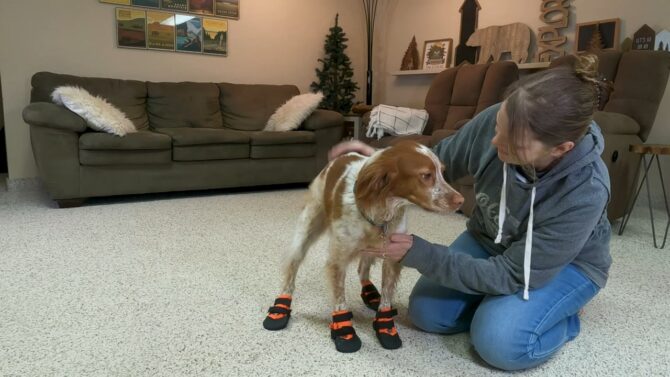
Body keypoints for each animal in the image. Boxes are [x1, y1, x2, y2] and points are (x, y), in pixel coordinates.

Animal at [266, 140, 464, 352]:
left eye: (442, 172)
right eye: (426, 175)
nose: (461, 201)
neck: (382, 209)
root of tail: (340, 158)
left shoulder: (392, 256)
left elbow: (386, 297)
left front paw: (385, 326)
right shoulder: (338, 259)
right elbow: (339, 299)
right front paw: (344, 332)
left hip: (370, 249)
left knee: (363, 269)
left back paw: (370, 293)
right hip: (306, 230)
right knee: (291, 269)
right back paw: (281, 305)